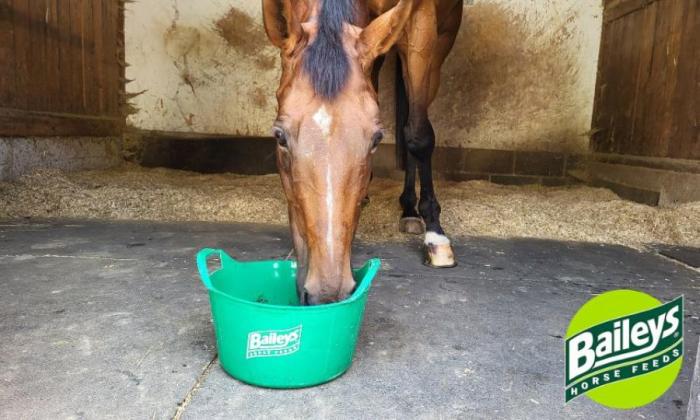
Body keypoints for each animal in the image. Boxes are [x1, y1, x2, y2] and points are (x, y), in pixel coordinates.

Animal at [263, 0, 463, 304]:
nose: (327, 293)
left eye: (376, 139)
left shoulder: (422, 22)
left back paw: (412, 211)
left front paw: (436, 236)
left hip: (440, 42)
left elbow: (418, 136)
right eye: (279, 136)